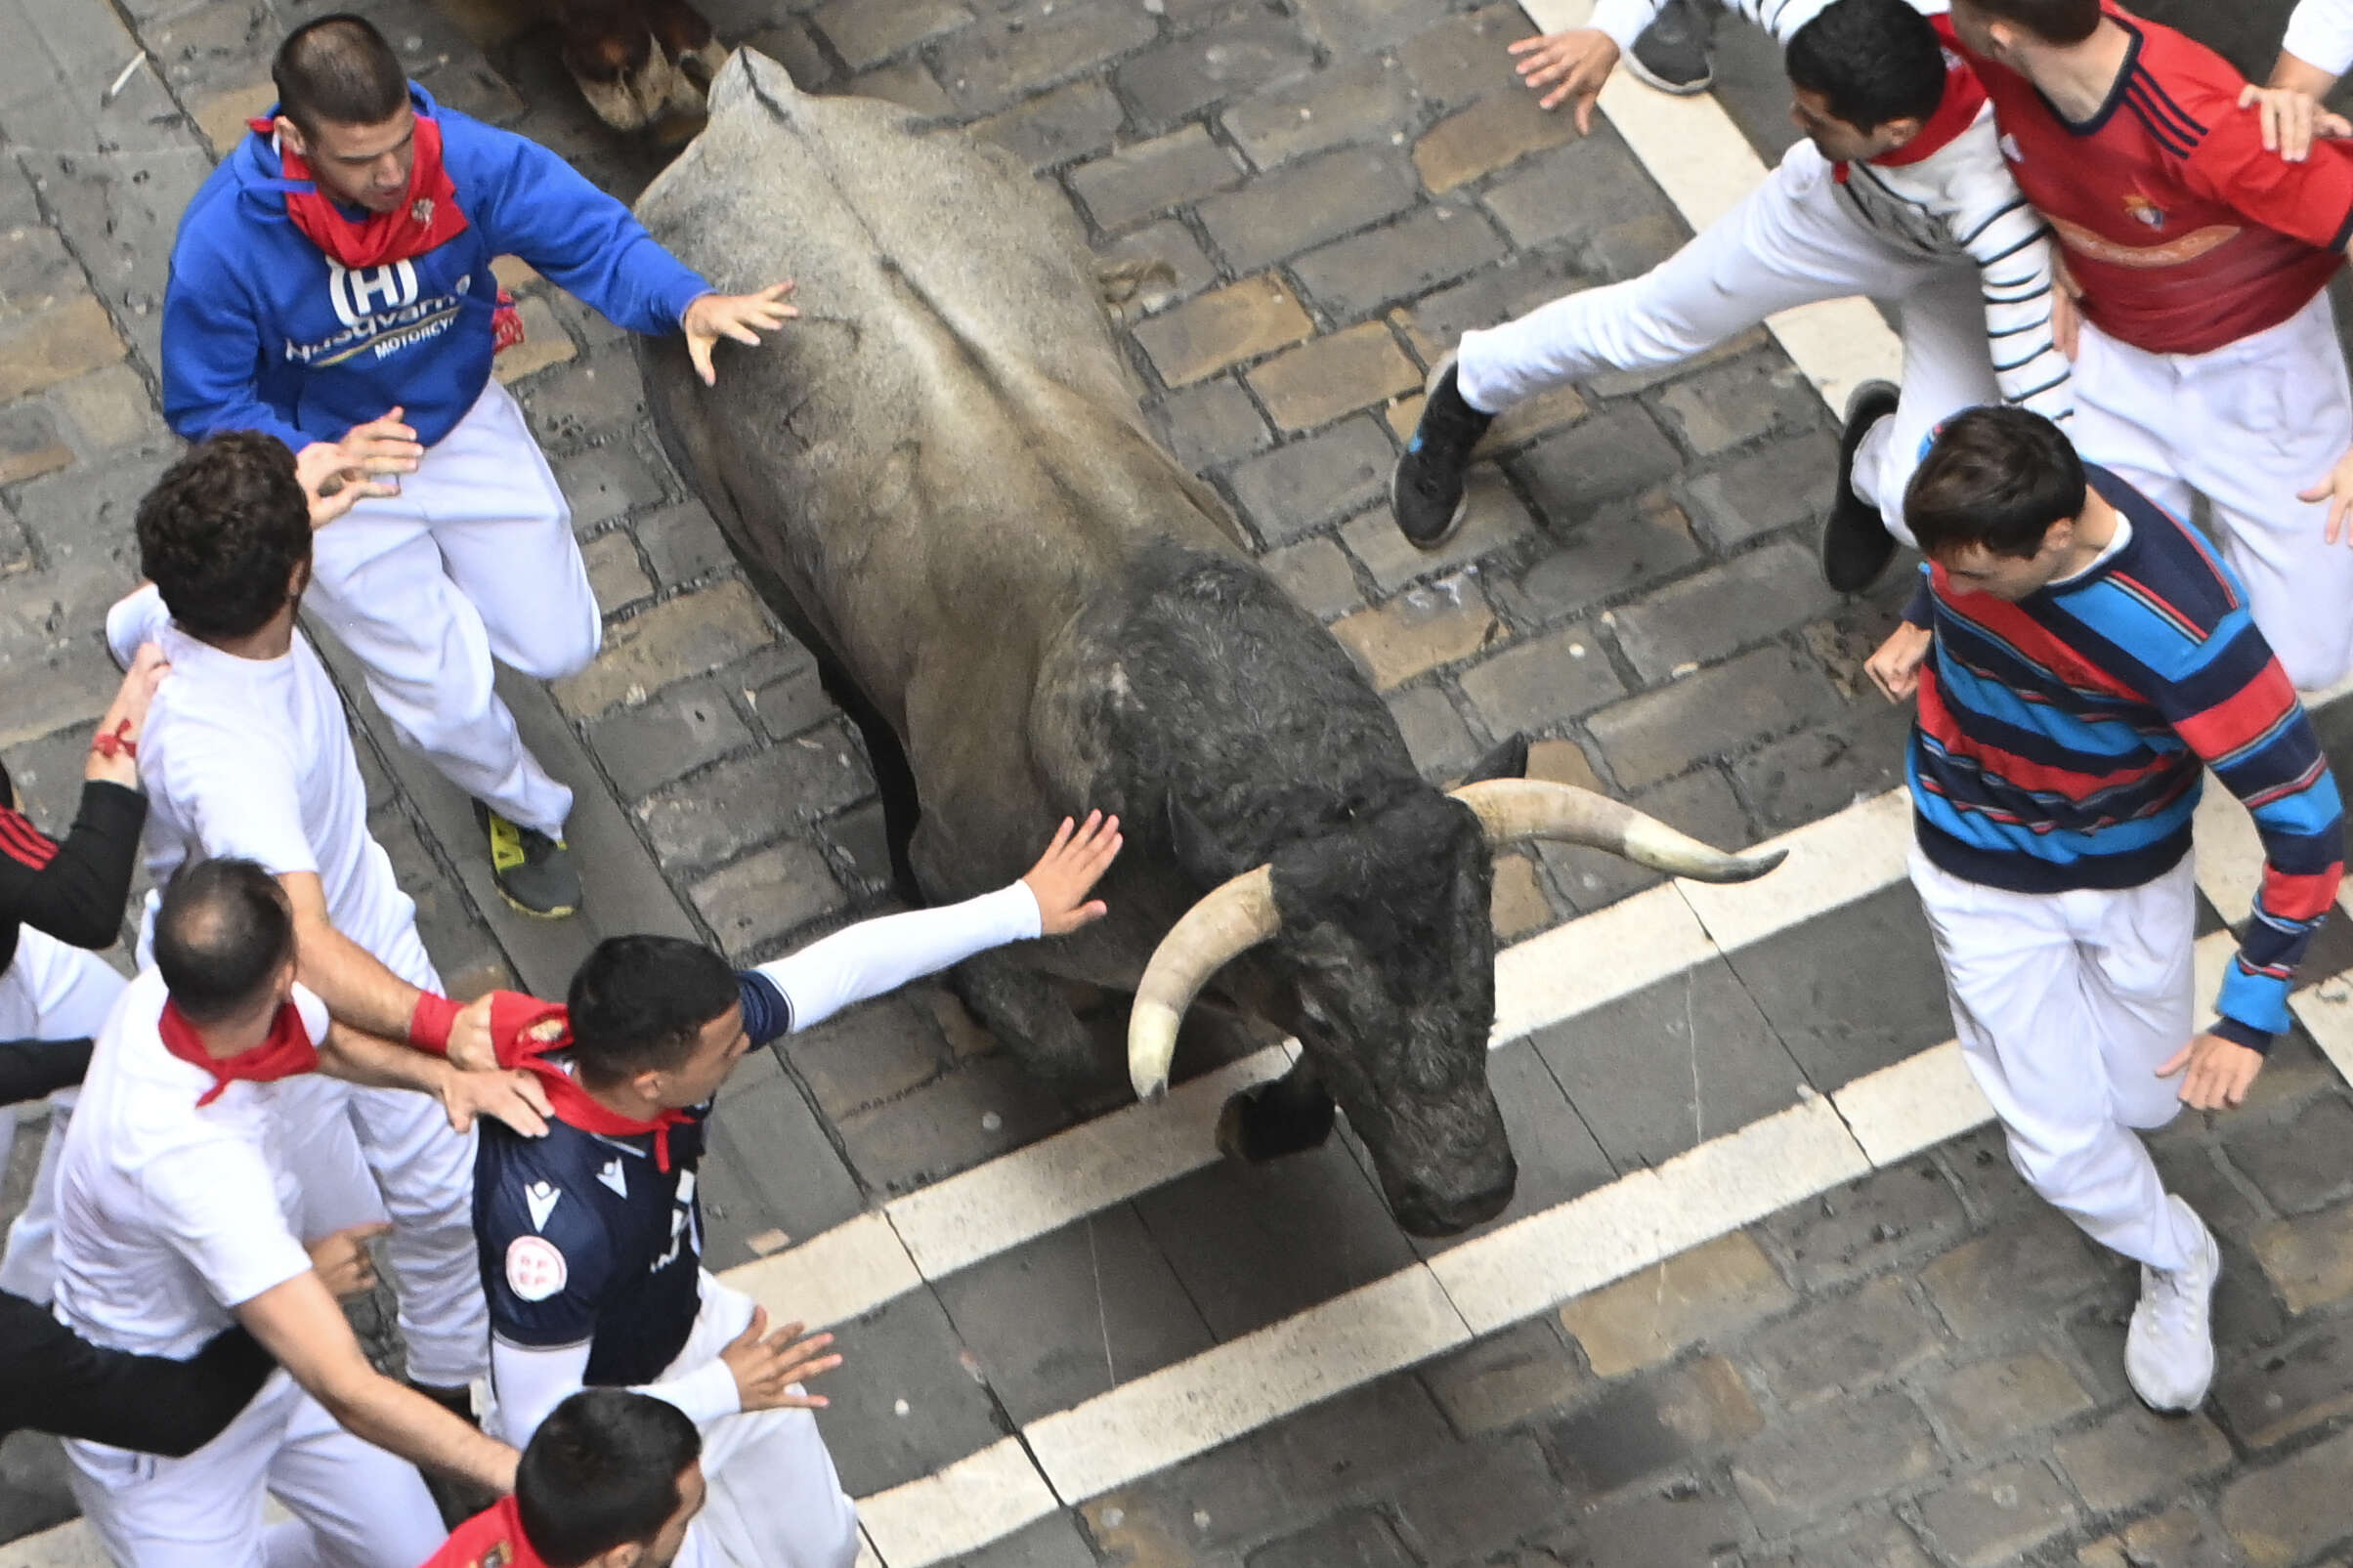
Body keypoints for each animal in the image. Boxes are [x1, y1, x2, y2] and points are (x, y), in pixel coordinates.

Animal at [625, 52, 1778, 1241]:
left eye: (1484, 965)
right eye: (1327, 1004)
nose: (1466, 1192)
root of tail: (756, 99)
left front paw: (1268, 1121)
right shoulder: (983, 887)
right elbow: (1057, 1046)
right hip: (752, 547)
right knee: (845, 686)